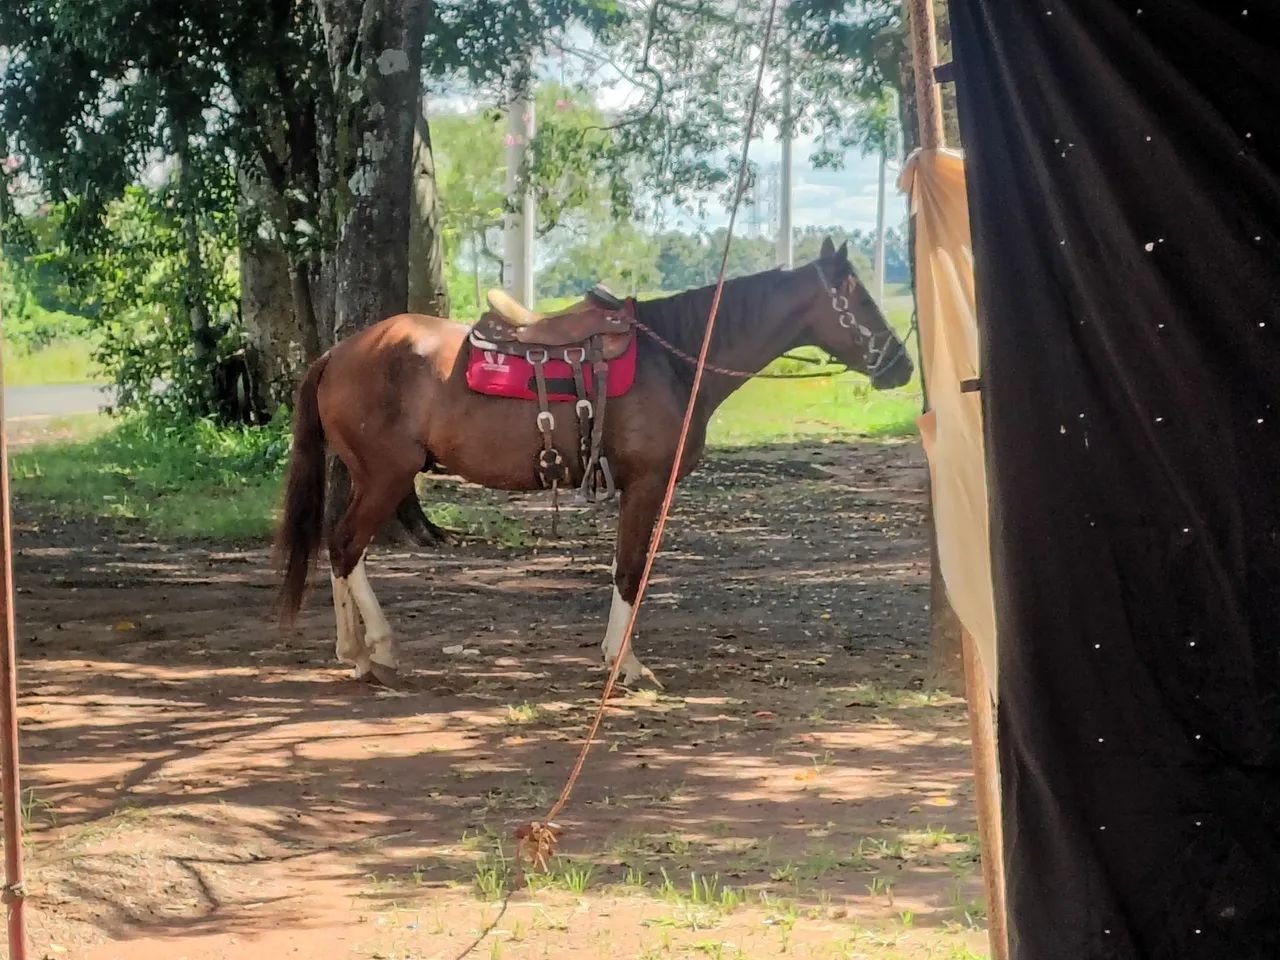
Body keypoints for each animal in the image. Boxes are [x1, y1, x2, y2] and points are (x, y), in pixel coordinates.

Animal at [274, 237, 913, 688]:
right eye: (859, 298)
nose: (902, 366)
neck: (672, 358)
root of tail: (337, 353)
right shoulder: (647, 485)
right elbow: (631, 570)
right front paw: (626, 666)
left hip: (368, 476)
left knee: (340, 546)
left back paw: (355, 651)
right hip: (386, 476)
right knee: (346, 545)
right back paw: (373, 653)